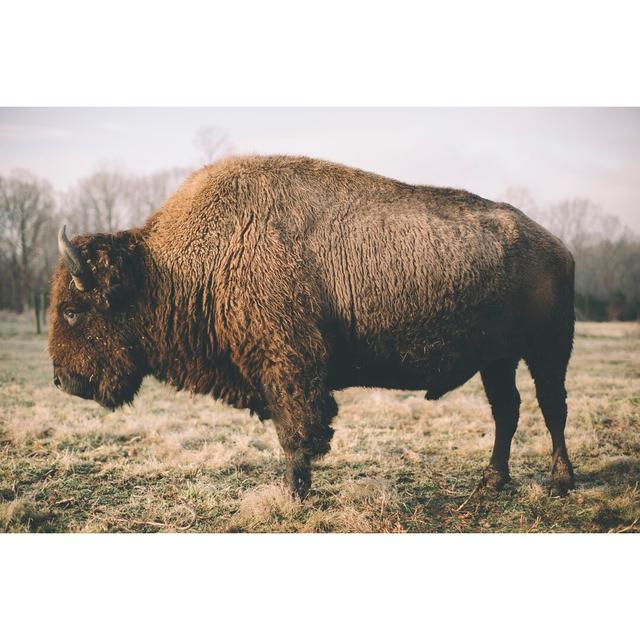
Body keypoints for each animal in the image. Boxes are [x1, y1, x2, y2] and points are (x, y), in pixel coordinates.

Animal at [50, 155, 576, 500]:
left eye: (73, 311)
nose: (61, 379)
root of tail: (556, 245)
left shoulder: (289, 368)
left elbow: (296, 434)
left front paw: (292, 495)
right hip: (497, 359)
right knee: (507, 410)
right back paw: (492, 481)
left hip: (547, 350)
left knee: (551, 407)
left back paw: (560, 481)